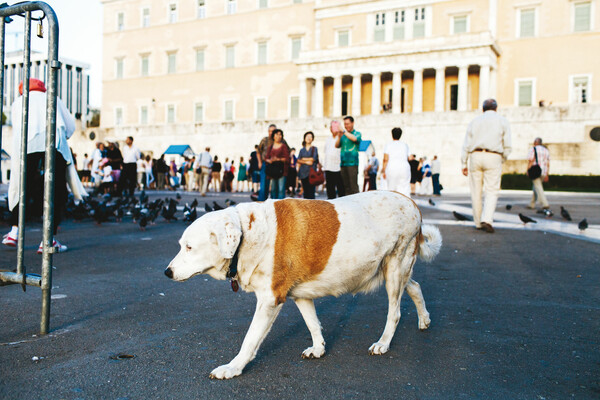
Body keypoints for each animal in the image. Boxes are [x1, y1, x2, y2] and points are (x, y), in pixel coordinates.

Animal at [164, 191, 440, 378]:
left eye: (189, 247)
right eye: (181, 245)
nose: (167, 272)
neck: (248, 234)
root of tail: (412, 203)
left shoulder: (270, 300)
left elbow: (250, 339)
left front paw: (233, 367)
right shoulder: (300, 294)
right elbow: (312, 323)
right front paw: (318, 348)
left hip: (394, 269)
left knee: (395, 312)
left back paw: (383, 342)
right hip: (394, 271)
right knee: (414, 286)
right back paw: (424, 319)